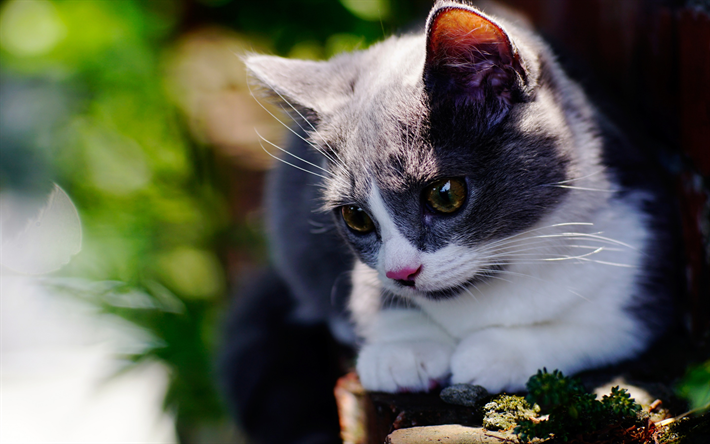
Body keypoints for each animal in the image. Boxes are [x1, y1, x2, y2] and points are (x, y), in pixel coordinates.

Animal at [221, 0, 680, 440]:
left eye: (445, 195)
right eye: (356, 217)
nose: (402, 272)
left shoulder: (639, 247)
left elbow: (605, 326)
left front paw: (497, 352)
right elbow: (365, 297)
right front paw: (404, 348)